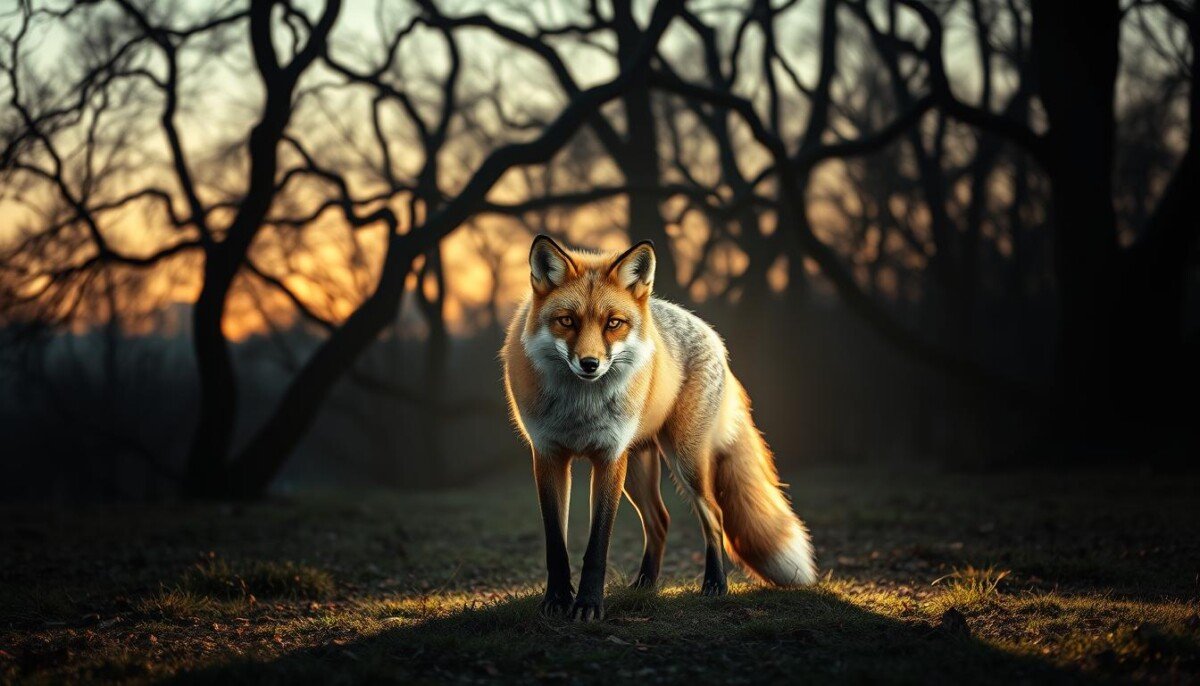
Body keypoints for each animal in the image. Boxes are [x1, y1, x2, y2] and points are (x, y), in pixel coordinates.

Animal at [502, 234, 816, 621]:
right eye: (566, 320)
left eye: (613, 323)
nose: (590, 364)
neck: (580, 408)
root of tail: (712, 335)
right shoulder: (548, 455)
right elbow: (555, 545)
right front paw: (558, 600)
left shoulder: (609, 457)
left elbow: (597, 547)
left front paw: (589, 605)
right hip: (639, 467)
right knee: (660, 520)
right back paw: (645, 586)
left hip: (684, 461)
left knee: (714, 515)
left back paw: (715, 584)